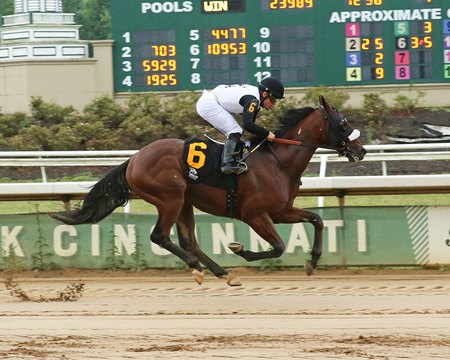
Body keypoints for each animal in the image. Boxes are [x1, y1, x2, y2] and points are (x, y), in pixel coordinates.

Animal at [49, 96, 366, 286]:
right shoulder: (256, 215)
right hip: (170, 197)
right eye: (342, 123)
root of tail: (134, 159)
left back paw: (222, 273)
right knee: (160, 236)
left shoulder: (281, 211)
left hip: (184, 202)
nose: (361, 150)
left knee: (189, 241)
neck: (277, 161)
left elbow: (318, 219)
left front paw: (312, 261)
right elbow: (278, 246)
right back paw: (199, 268)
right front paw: (240, 249)